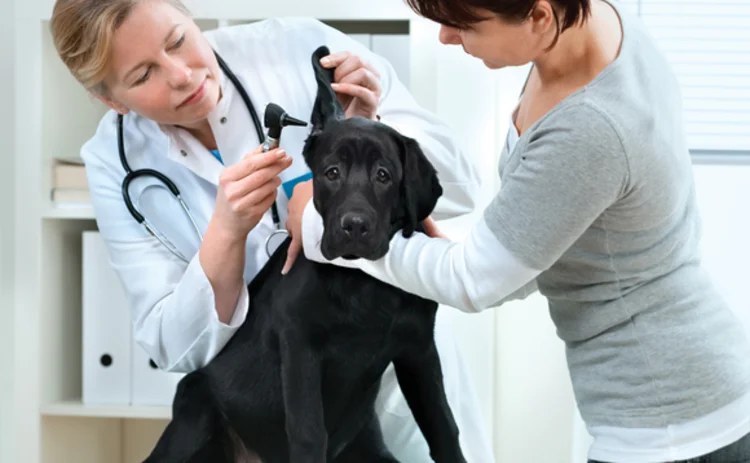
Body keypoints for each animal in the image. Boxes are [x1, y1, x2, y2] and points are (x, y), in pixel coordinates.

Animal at [143, 44, 468, 463]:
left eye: (383, 175)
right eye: (331, 173)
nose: (354, 227)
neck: (362, 283)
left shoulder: (419, 349)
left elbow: (444, 427)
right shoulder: (299, 344)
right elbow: (309, 432)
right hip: (197, 410)